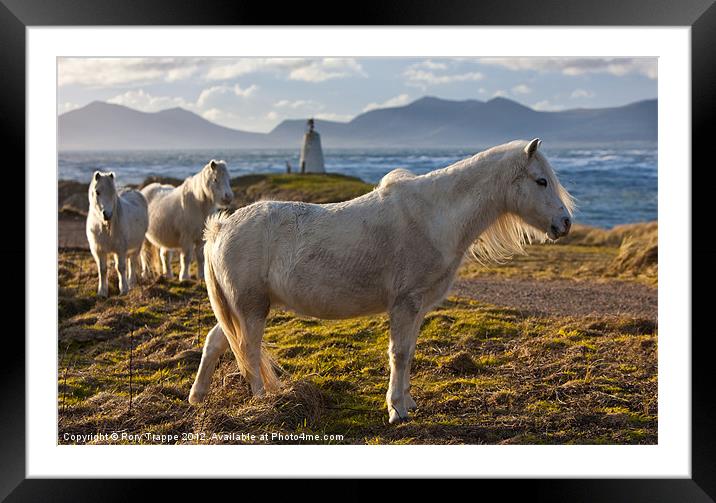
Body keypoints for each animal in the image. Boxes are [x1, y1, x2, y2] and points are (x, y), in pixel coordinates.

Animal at [187, 141, 572, 426]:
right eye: (541, 181)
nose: (565, 223)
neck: (433, 216)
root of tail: (219, 228)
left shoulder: (416, 307)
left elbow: (409, 352)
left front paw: (408, 403)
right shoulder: (405, 303)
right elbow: (398, 354)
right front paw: (396, 410)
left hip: (240, 308)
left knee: (217, 342)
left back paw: (198, 396)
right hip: (251, 308)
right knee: (248, 351)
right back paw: (263, 402)